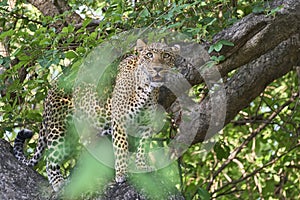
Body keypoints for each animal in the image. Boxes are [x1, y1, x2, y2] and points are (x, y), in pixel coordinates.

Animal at [13, 38, 180, 191]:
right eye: (149, 55)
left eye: (166, 55)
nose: (157, 68)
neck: (147, 89)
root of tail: (52, 86)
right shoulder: (119, 121)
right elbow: (121, 148)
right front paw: (121, 173)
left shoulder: (146, 124)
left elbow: (143, 146)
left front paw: (141, 166)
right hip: (58, 128)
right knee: (50, 158)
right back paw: (58, 182)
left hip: (72, 136)